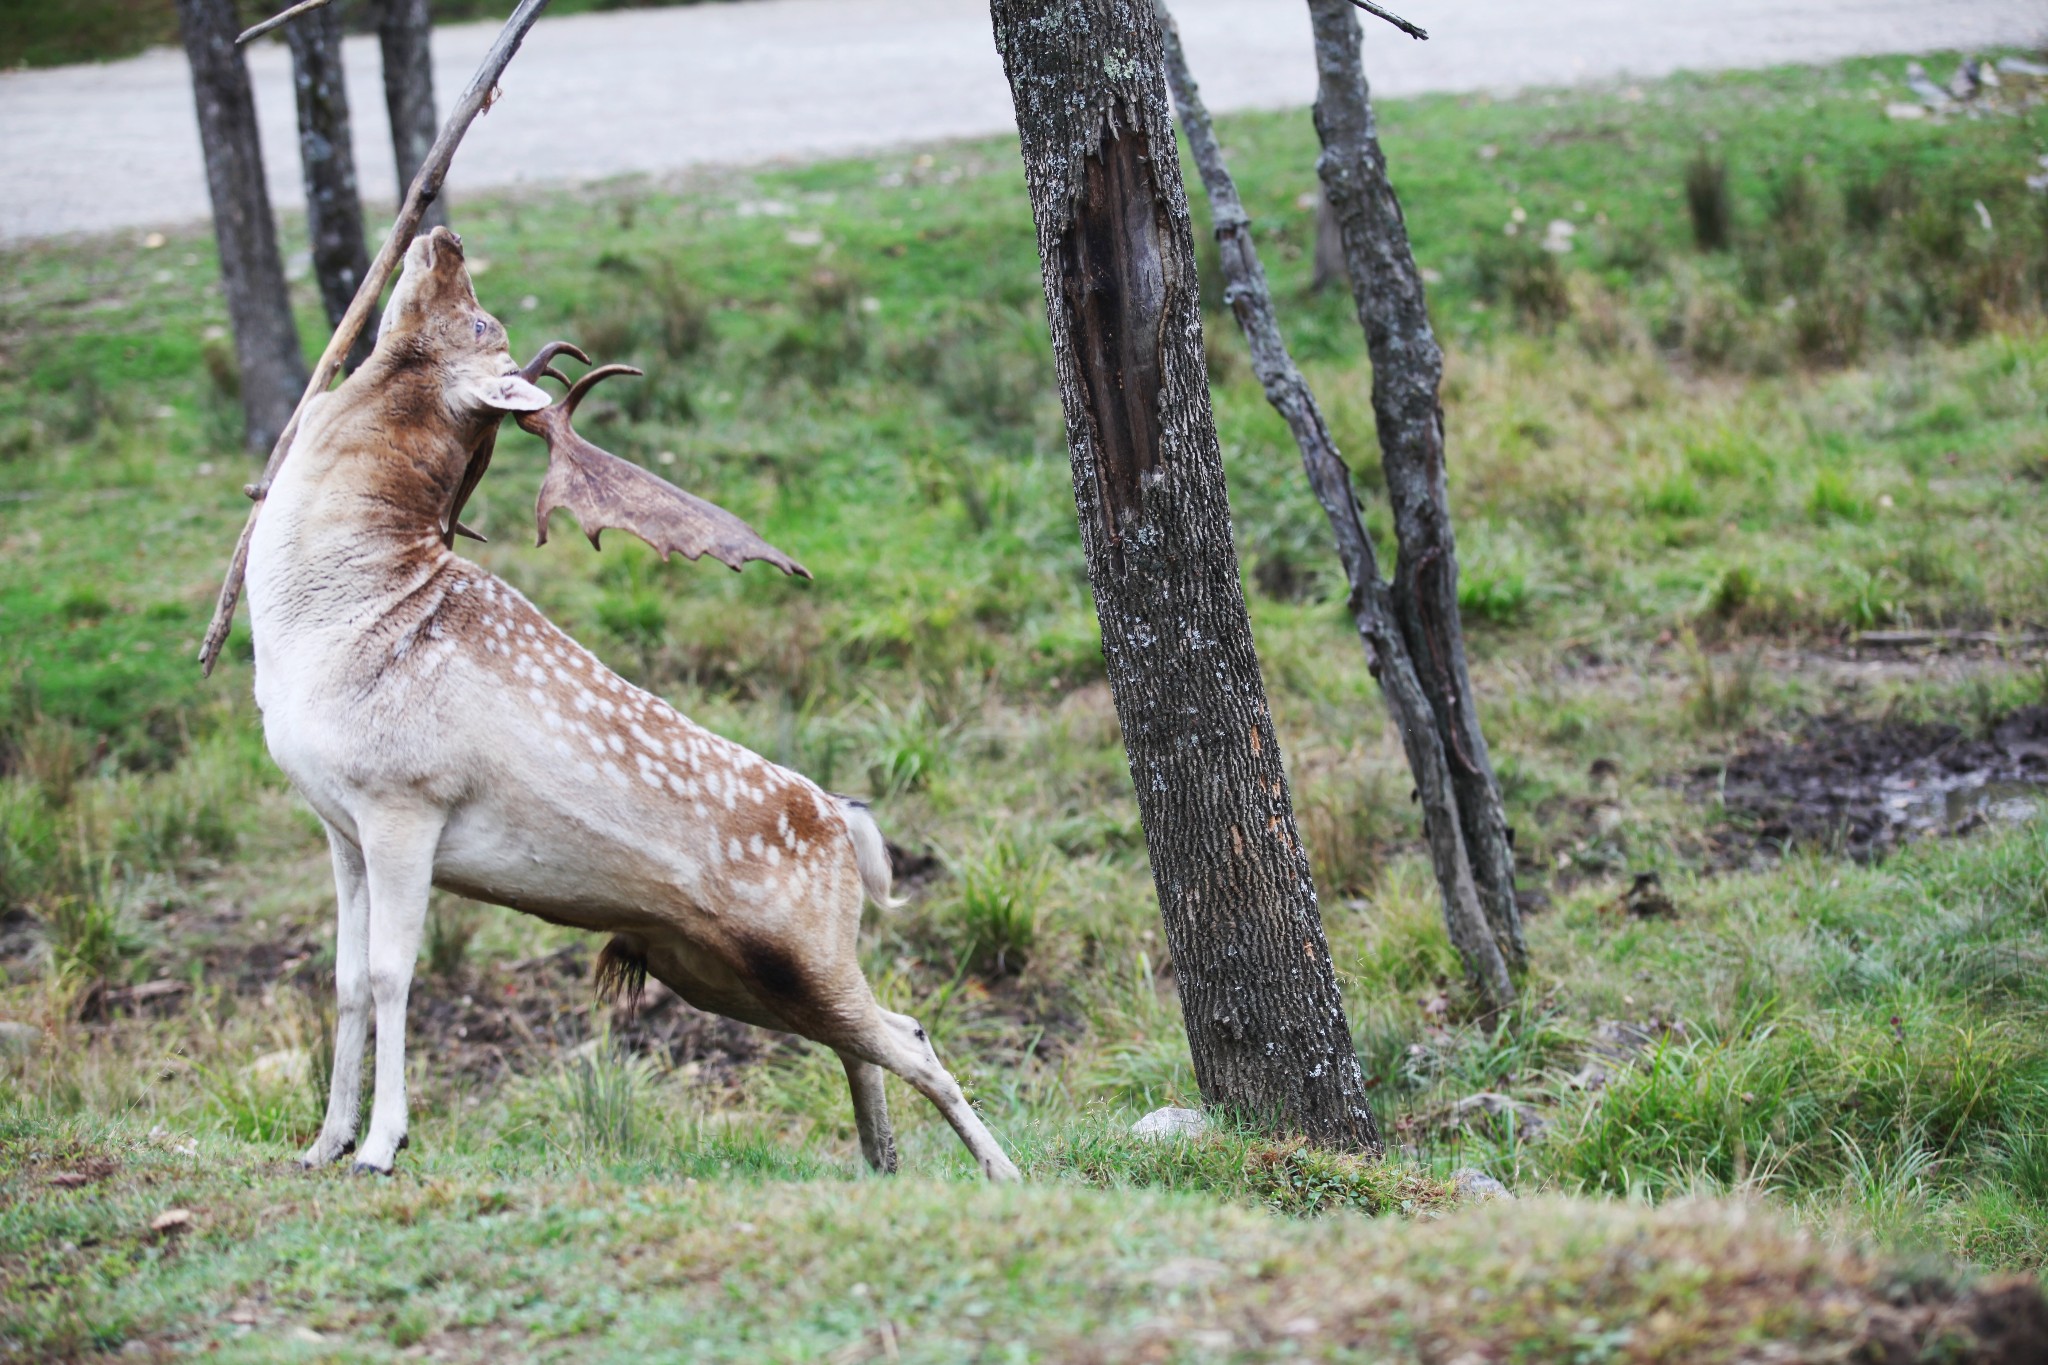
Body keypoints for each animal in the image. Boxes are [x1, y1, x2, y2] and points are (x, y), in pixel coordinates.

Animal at [245, 229, 1024, 1178]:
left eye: (482, 318)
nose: (446, 236)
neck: (322, 621)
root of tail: (849, 823)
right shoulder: (339, 824)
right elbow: (347, 980)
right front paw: (323, 1142)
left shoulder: (405, 799)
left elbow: (396, 975)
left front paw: (384, 1143)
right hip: (721, 969)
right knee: (869, 1037)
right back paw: (883, 1164)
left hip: (801, 947)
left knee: (908, 1034)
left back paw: (1003, 1172)